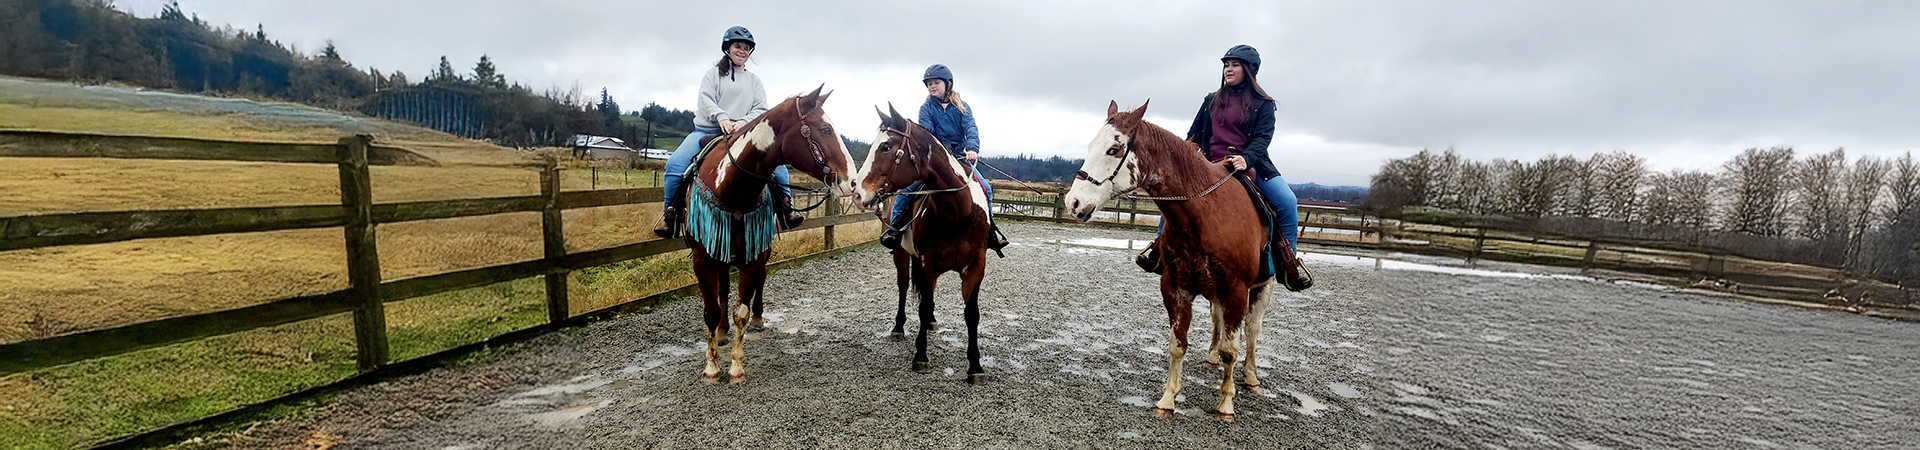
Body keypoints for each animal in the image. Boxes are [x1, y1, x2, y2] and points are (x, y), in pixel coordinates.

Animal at [679, 87, 852, 382]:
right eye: (826, 129)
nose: (851, 181)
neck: (733, 188)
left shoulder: (753, 254)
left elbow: (742, 311)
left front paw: (736, 367)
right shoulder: (703, 258)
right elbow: (711, 310)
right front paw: (711, 367)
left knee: (760, 279)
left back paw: (758, 319)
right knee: (723, 290)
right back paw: (722, 333)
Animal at [860, 104, 1006, 382]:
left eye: (886, 147)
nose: (858, 191)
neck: (958, 211)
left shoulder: (976, 267)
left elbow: (972, 314)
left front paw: (975, 366)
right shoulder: (928, 264)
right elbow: (923, 304)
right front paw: (921, 356)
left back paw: (930, 323)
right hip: (901, 254)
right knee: (904, 287)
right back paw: (899, 327)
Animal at [1067, 100, 1274, 417]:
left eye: (1113, 150)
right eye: (1091, 146)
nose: (1073, 202)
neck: (1204, 214)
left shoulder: (1237, 291)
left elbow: (1232, 350)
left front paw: (1226, 403)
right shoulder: (1176, 288)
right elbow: (1178, 344)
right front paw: (1167, 399)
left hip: (1262, 288)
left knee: (1252, 329)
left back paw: (1251, 376)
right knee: (1218, 321)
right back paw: (1212, 357)